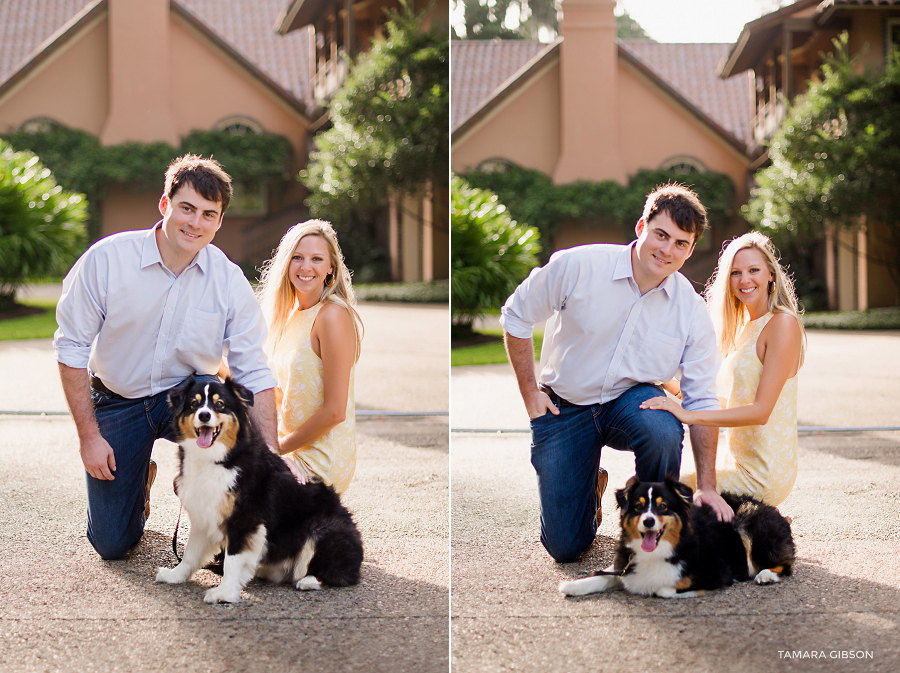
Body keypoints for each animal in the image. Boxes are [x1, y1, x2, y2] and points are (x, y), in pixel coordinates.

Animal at [155, 376, 362, 600]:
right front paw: (175, 575)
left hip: (324, 526)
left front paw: (224, 593)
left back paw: (309, 581)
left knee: (340, 573)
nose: (204, 415)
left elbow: (232, 560)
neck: (220, 459)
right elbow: (190, 553)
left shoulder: (245, 519)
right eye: (194, 404)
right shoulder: (203, 512)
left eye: (220, 404)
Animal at [556, 476, 796, 596]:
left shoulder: (717, 571)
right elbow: (606, 574)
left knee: (784, 563)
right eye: (638, 507)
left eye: (663, 507)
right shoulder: (626, 564)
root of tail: (772, 509)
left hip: (751, 525)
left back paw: (766, 575)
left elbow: (664, 589)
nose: (648, 521)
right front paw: (573, 586)